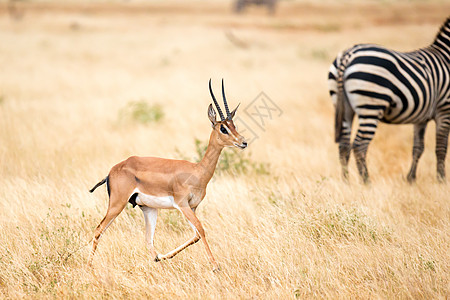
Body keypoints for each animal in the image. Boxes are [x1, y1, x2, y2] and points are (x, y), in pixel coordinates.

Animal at [328, 18, 448, 184]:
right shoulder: (444, 109)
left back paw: (346, 182)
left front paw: (411, 179)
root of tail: (348, 55)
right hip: (371, 105)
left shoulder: (422, 116)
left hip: (344, 107)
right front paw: (441, 180)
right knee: (359, 145)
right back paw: (366, 182)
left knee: (344, 145)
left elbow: (418, 147)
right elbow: (441, 147)